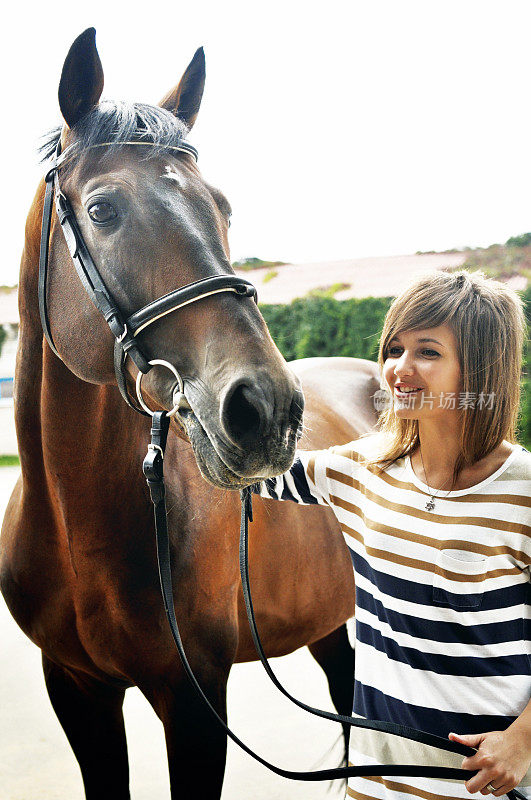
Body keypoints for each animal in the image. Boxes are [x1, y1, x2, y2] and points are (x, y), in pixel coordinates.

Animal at [1, 28, 382, 796]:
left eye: (223, 208)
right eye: (103, 209)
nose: (266, 408)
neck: (80, 527)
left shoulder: (196, 705)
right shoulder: (76, 692)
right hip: (329, 621)